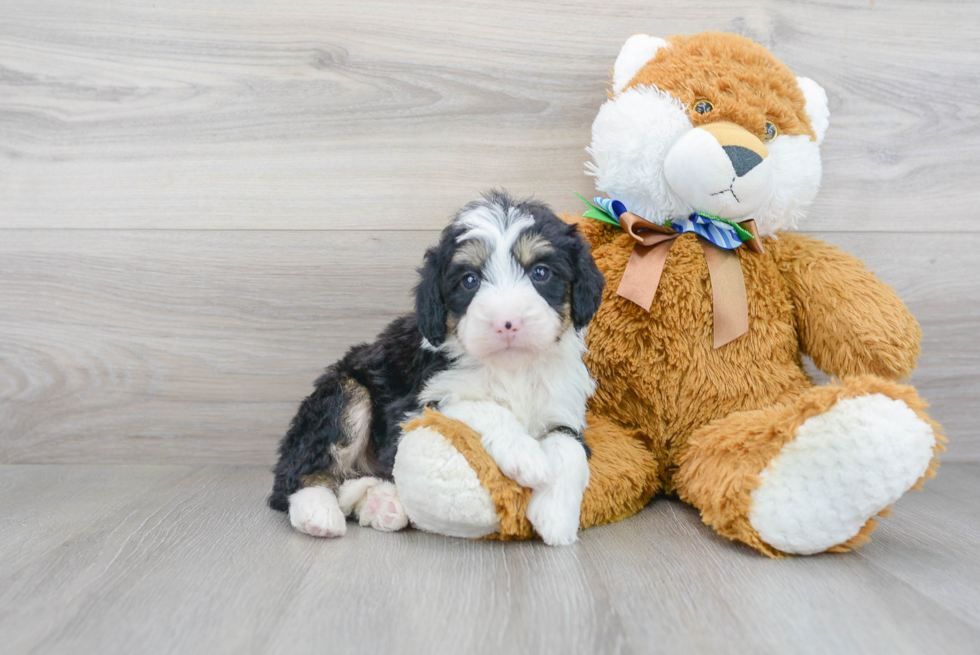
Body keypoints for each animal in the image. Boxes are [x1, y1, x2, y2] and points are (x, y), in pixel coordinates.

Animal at [270, 191, 604, 548]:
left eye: (540, 272)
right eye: (470, 280)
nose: (507, 323)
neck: (511, 369)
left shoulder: (563, 407)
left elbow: (570, 450)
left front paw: (556, 515)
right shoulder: (418, 404)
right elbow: (479, 405)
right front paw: (526, 456)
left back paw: (382, 504)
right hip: (346, 392)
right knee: (299, 473)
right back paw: (318, 512)